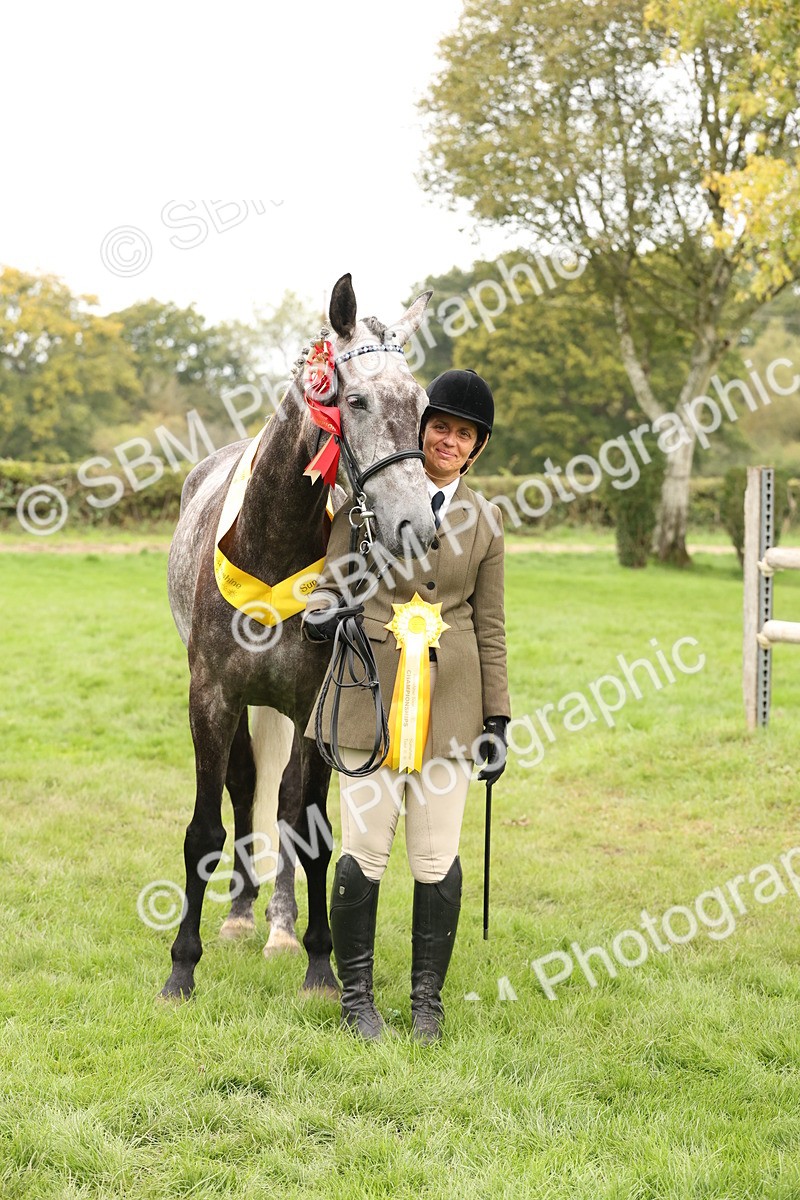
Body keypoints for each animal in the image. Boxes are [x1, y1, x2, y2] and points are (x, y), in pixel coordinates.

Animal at [161, 273, 435, 999]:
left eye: (423, 405)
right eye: (357, 399)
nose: (417, 526)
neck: (270, 543)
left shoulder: (316, 699)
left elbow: (307, 823)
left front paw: (319, 962)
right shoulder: (212, 697)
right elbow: (206, 826)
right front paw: (182, 966)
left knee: (284, 803)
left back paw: (281, 926)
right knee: (244, 786)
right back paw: (239, 915)